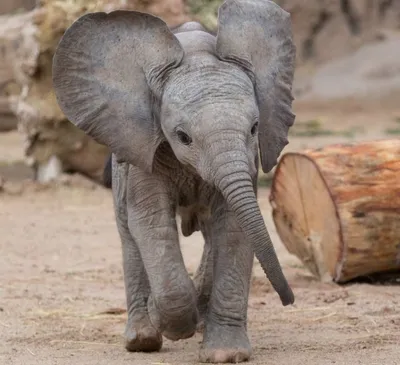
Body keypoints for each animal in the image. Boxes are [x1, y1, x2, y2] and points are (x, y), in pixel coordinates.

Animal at [52, 0, 296, 362]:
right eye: (183, 137)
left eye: (254, 128)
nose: (289, 300)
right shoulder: (144, 149)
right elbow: (150, 222)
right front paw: (167, 319)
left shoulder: (248, 161)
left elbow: (234, 226)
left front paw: (225, 354)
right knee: (128, 234)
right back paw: (143, 339)